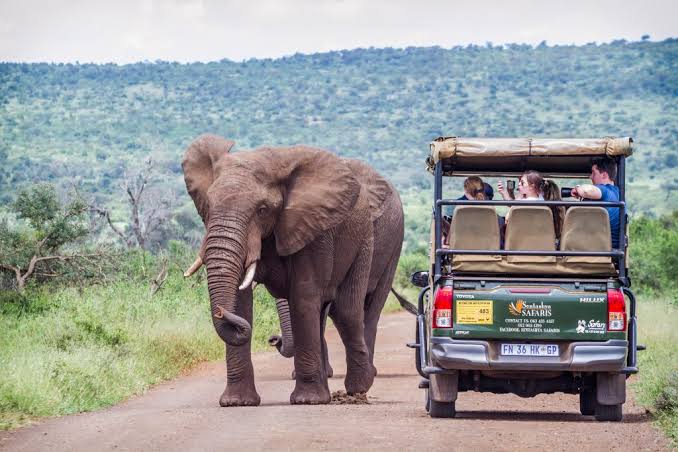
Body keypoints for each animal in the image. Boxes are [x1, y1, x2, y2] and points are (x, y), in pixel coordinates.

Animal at [182, 134, 404, 406]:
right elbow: (241, 300)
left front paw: (308, 401)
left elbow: (303, 294)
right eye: (208, 207)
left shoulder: (315, 229)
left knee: (349, 311)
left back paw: (358, 389)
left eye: (262, 209)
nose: (272, 338)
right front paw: (237, 402)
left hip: (371, 241)